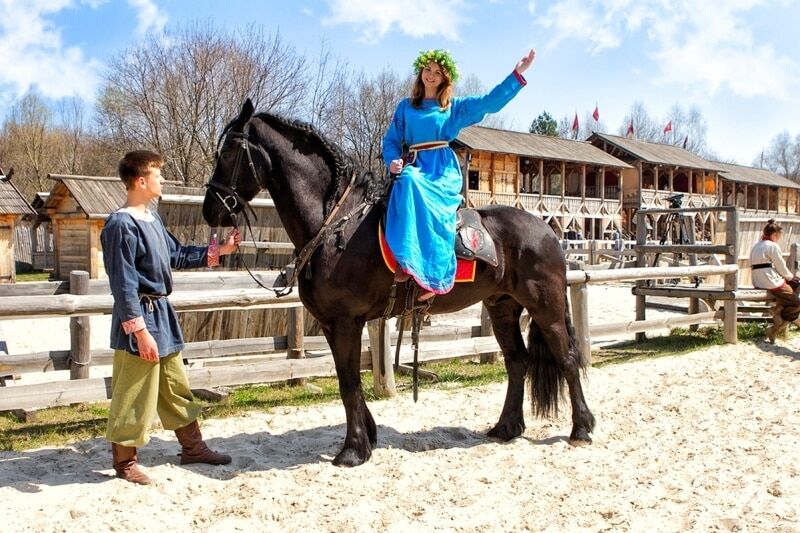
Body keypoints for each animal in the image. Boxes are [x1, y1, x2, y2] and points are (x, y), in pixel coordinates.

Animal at [203, 100, 592, 466]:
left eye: (228, 152)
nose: (212, 210)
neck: (336, 226)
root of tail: (547, 229)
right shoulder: (331, 324)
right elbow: (348, 380)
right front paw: (368, 435)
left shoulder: (346, 321)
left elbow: (349, 383)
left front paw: (353, 449)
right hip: (503, 308)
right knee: (517, 361)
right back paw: (506, 427)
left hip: (545, 304)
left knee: (567, 357)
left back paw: (581, 428)